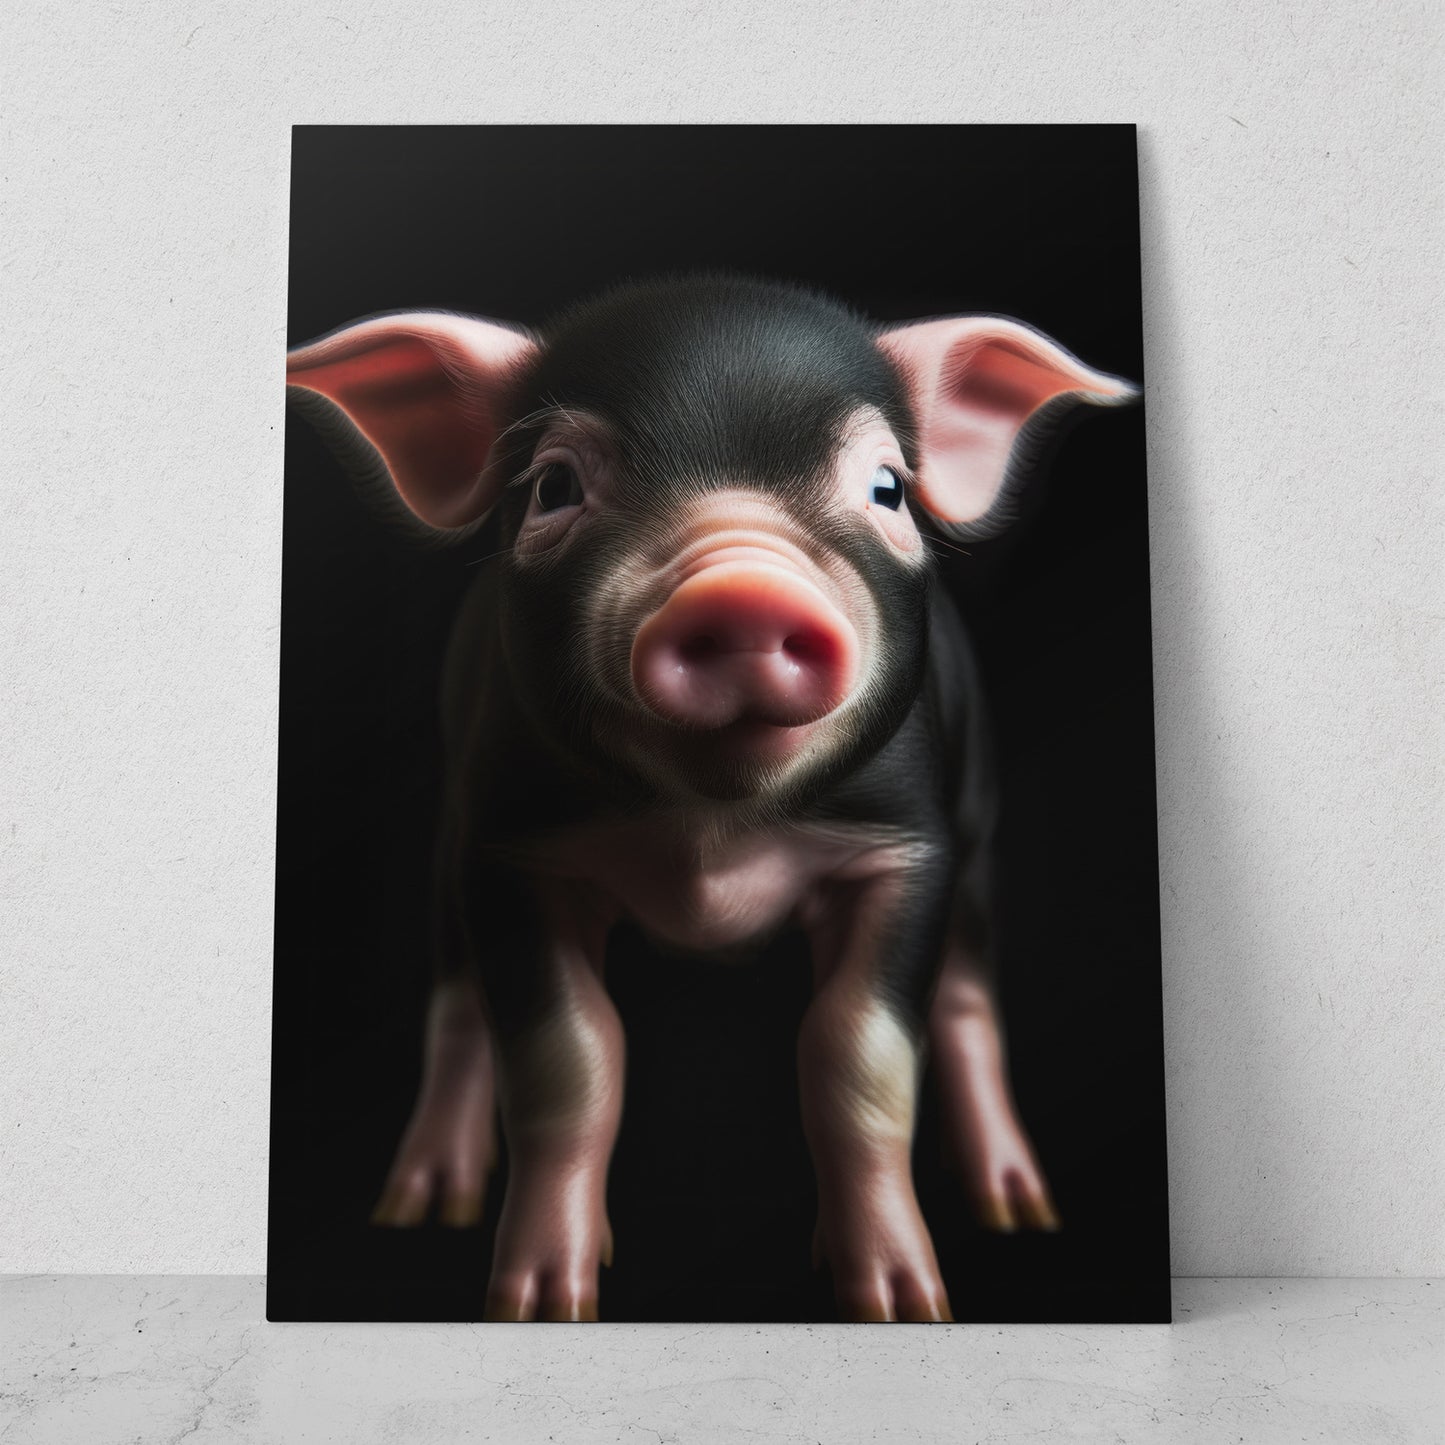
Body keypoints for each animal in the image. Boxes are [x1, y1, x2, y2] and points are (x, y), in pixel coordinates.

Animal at [285, 274, 1137, 1322]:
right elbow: (568, 1057)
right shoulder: (509, 847)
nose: (742, 589)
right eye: (553, 487)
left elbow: (856, 1052)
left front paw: (902, 1304)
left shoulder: (906, 846)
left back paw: (1015, 1207)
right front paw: (540, 1303)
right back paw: (422, 1205)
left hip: (976, 829)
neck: (713, 839)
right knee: (456, 1001)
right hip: (448, 844)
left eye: (887, 489)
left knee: (969, 995)